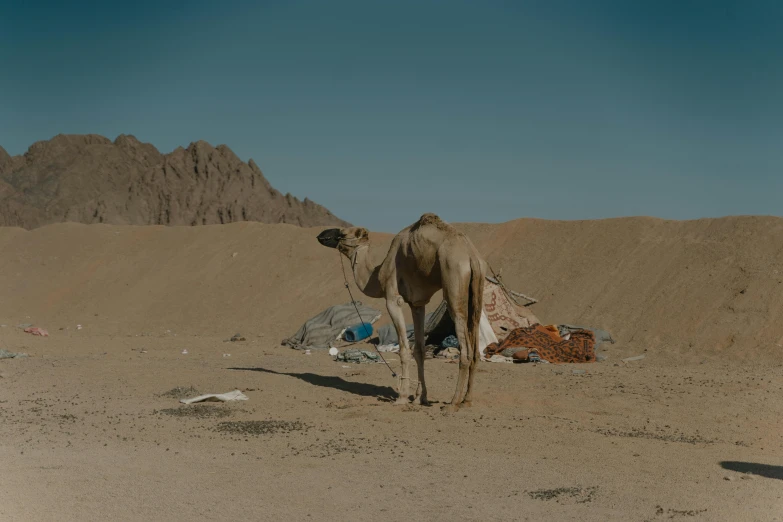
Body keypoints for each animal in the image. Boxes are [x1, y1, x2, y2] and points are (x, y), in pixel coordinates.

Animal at [318, 213, 484, 408]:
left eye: (343, 233)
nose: (321, 235)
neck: (378, 275)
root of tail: (471, 256)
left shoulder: (392, 299)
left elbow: (404, 349)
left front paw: (402, 397)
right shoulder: (418, 304)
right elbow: (419, 349)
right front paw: (420, 397)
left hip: (454, 279)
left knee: (464, 347)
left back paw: (453, 403)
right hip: (477, 290)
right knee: (475, 346)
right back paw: (467, 400)